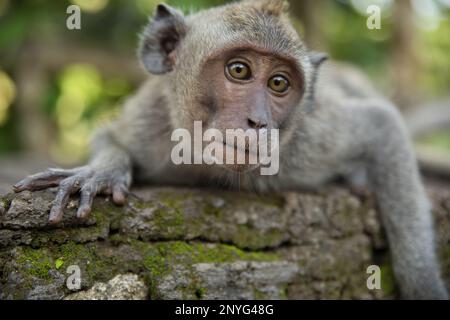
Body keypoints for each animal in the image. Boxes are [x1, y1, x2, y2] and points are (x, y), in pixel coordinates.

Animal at [12, 0, 448, 300]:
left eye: (278, 83)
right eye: (239, 70)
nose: (258, 122)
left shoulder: (309, 140)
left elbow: (383, 126)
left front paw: (424, 285)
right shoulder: (152, 126)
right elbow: (112, 139)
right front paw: (99, 172)